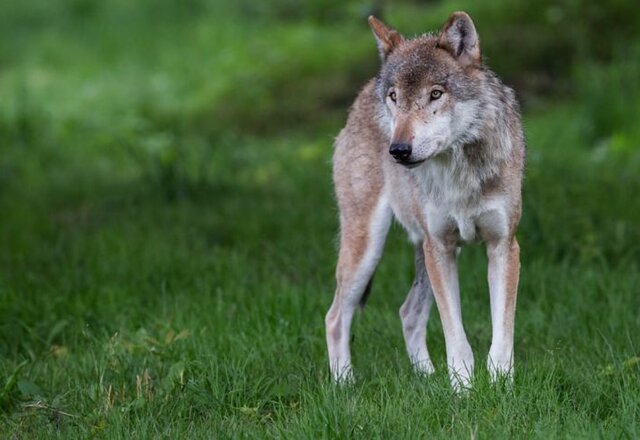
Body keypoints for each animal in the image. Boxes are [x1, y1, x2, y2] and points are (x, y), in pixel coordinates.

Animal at [324, 9, 524, 388]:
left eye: (435, 94)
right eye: (394, 97)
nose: (399, 151)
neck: (459, 173)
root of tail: (363, 91)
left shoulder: (503, 245)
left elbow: (502, 335)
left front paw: (500, 387)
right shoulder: (441, 246)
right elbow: (456, 337)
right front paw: (463, 391)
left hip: (423, 252)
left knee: (408, 313)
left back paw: (426, 378)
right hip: (369, 249)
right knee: (335, 317)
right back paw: (344, 386)